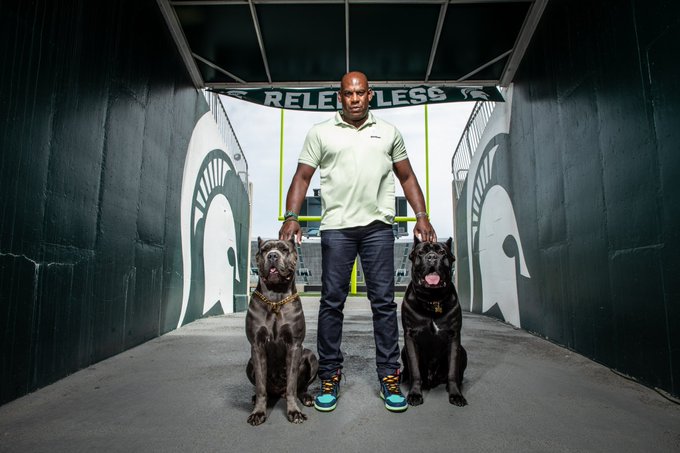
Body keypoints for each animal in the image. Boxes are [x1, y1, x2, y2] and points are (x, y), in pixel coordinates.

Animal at [246, 238, 318, 426]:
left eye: (284, 249)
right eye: (264, 250)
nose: (272, 256)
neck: (275, 299)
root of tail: (279, 392)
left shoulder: (294, 345)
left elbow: (292, 384)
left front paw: (294, 412)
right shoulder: (257, 346)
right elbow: (261, 386)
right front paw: (258, 412)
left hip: (311, 357)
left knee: (300, 387)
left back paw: (306, 397)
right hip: (249, 364)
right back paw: (255, 399)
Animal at [398, 237, 468, 406]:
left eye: (442, 252)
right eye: (421, 252)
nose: (431, 257)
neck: (432, 299)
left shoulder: (454, 336)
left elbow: (452, 370)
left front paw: (456, 394)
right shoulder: (410, 337)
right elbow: (415, 369)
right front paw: (415, 394)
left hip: (463, 350)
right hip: (403, 350)